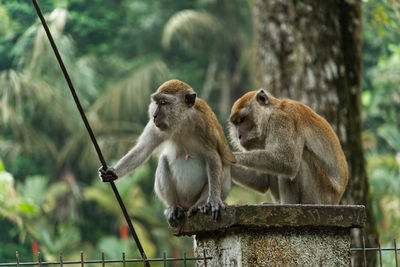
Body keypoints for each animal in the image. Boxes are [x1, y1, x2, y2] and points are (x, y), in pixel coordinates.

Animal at [99, 79, 234, 226]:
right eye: (157, 103)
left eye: (164, 103)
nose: (154, 115)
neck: (182, 122)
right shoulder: (155, 126)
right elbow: (142, 149)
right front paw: (113, 172)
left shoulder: (204, 125)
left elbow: (213, 157)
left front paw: (214, 200)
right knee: (163, 161)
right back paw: (173, 207)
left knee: (223, 166)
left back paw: (201, 205)